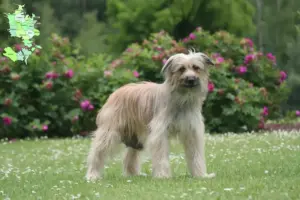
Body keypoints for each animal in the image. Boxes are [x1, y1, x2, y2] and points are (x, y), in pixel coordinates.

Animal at [86, 50, 216, 181]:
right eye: (181, 69)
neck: (182, 100)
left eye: (196, 67)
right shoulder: (160, 133)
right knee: (97, 153)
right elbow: (161, 155)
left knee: (129, 157)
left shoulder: (192, 132)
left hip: (135, 138)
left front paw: (200, 175)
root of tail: (115, 92)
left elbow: (196, 156)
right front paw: (163, 176)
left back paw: (133, 175)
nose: (191, 79)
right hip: (110, 132)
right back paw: (92, 175)